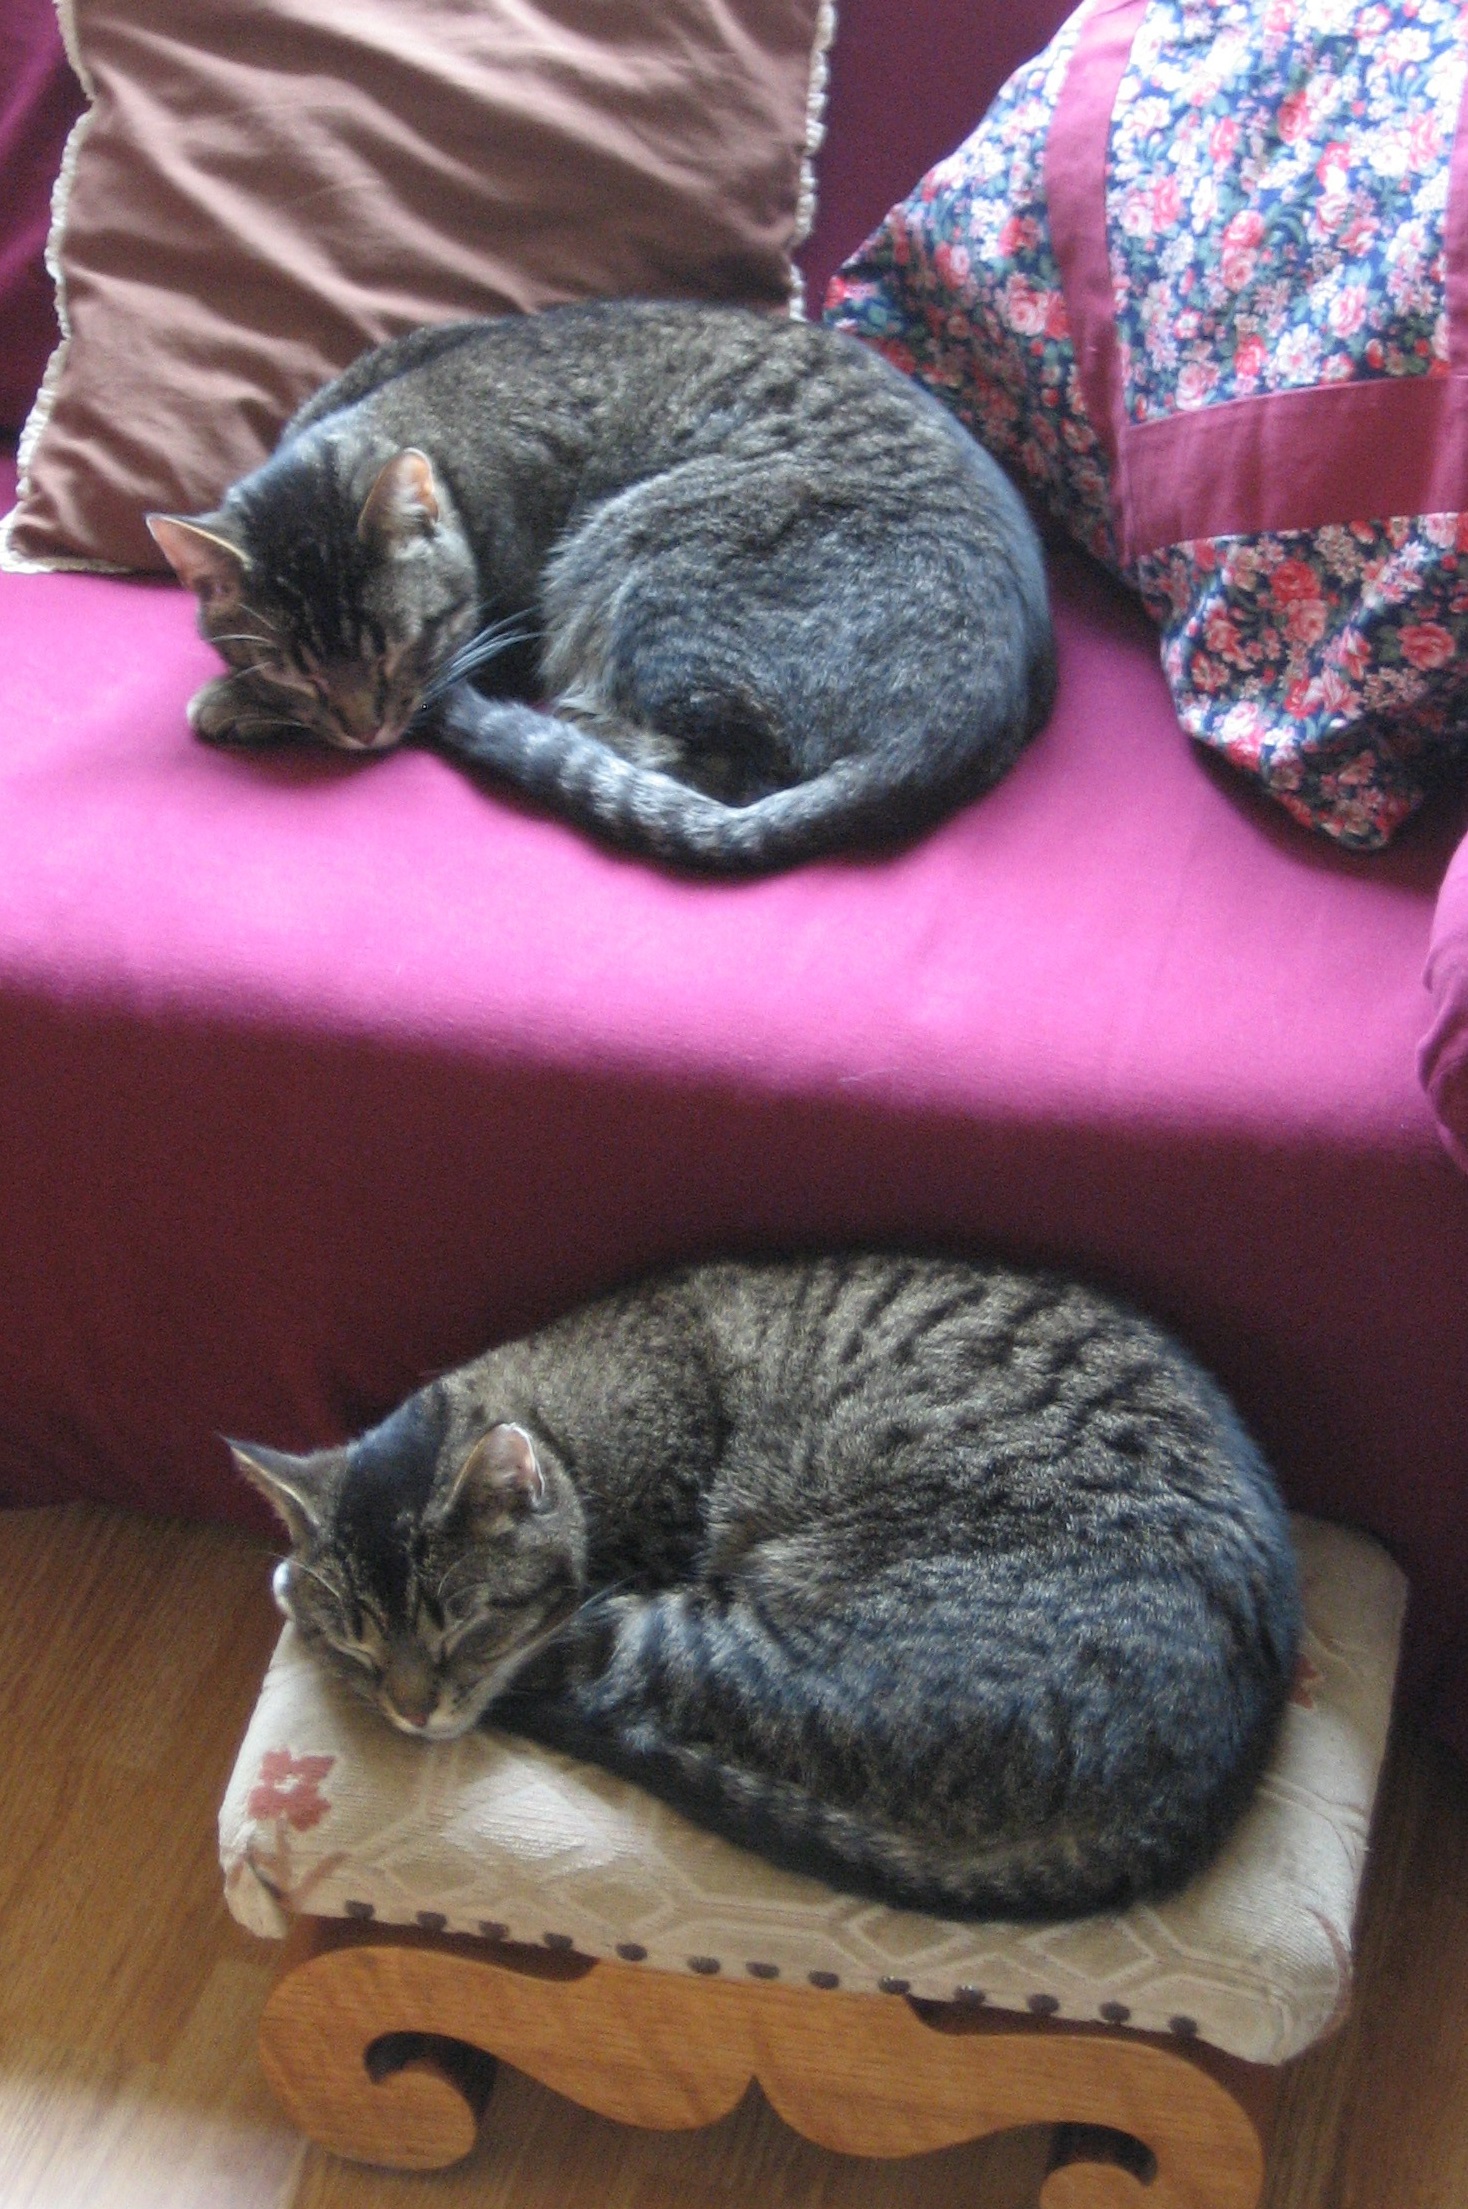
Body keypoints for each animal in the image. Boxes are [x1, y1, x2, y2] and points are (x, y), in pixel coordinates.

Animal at [145, 302, 1055, 870]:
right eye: (294, 669)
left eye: (401, 645)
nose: (366, 732)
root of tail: (944, 731)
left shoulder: (498, 634)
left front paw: (230, 701)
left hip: (642, 555)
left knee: (722, 765)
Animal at [235, 1254, 1298, 1926]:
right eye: (360, 1644)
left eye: (461, 1628)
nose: (410, 1711)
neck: (573, 1419)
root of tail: (1182, 1805)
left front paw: (291, 1584)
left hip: (717, 1638)